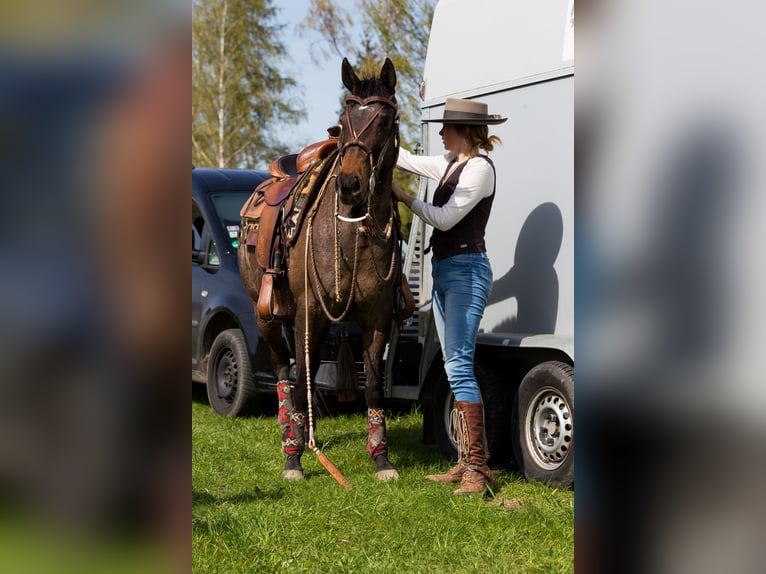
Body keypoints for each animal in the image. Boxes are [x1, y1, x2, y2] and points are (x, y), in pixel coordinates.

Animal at [238, 57, 408, 482]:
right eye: (343, 121)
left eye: (385, 120)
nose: (349, 184)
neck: (353, 233)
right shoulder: (309, 314)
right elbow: (301, 380)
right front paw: (294, 459)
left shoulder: (378, 317)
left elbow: (374, 386)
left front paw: (381, 459)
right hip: (265, 313)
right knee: (285, 371)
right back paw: (289, 432)